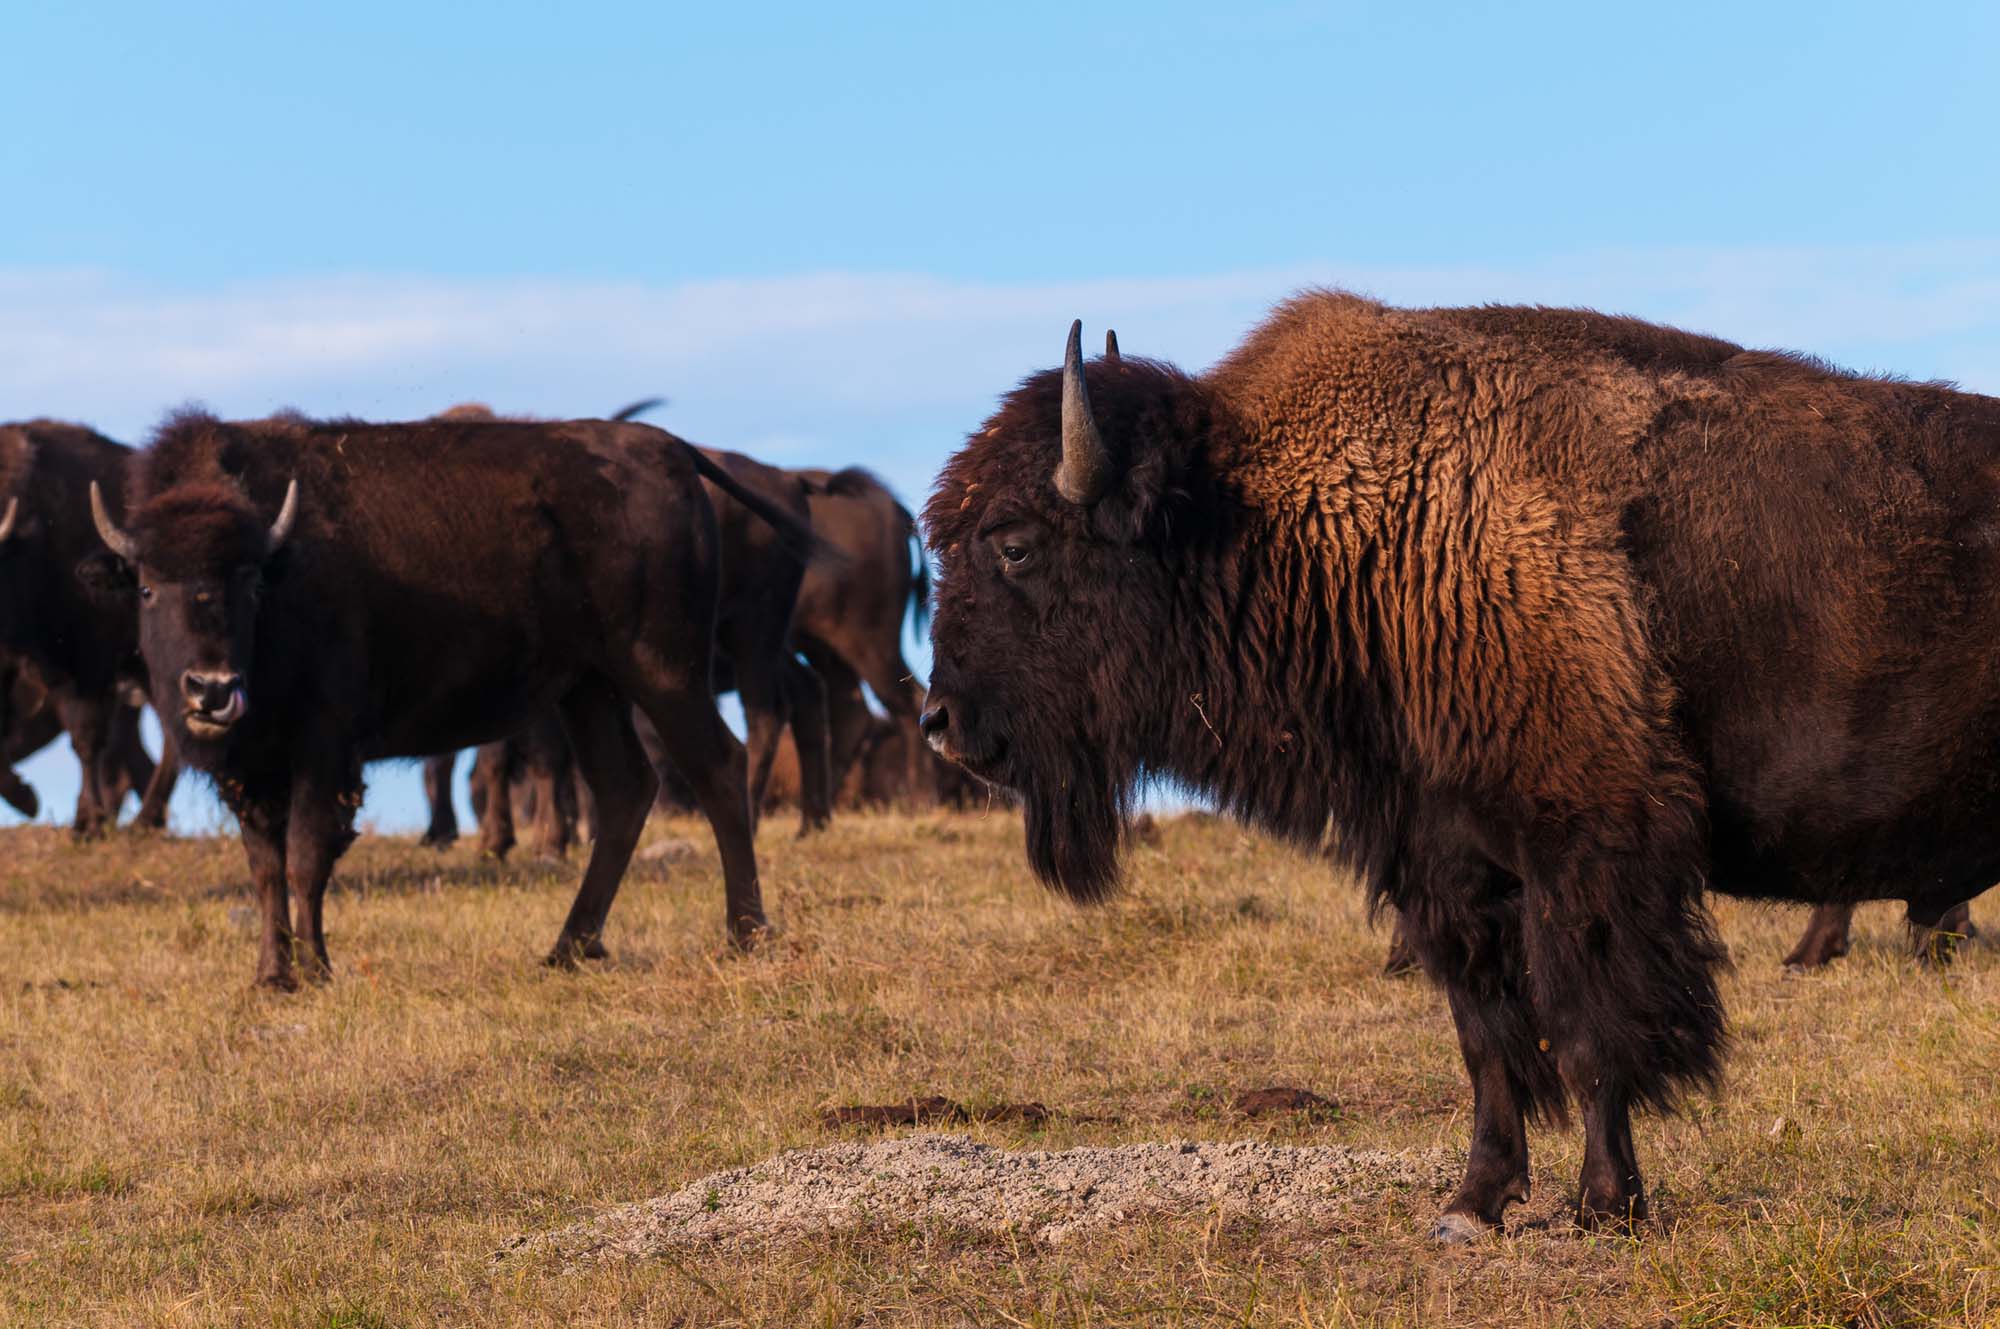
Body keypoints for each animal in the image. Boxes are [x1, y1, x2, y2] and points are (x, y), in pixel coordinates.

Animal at [88, 409, 802, 987]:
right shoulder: (252, 772)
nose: (212, 690)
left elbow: (305, 857)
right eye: (148, 587)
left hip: (662, 671)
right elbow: (265, 868)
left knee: (718, 765)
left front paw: (316, 971)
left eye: (251, 583)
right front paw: (269, 975)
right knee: (626, 788)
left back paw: (744, 935)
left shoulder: (324, 750)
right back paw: (568, 948)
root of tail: (670, 449)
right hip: (588, 689)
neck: (283, 553)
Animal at [921, 298, 2000, 1238]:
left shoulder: (1585, 856)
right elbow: (1488, 1042)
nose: (939, 722)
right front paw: (1472, 1203)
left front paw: (1603, 1206)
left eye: (1013, 543)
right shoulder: (1446, 865)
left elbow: (1585, 1033)